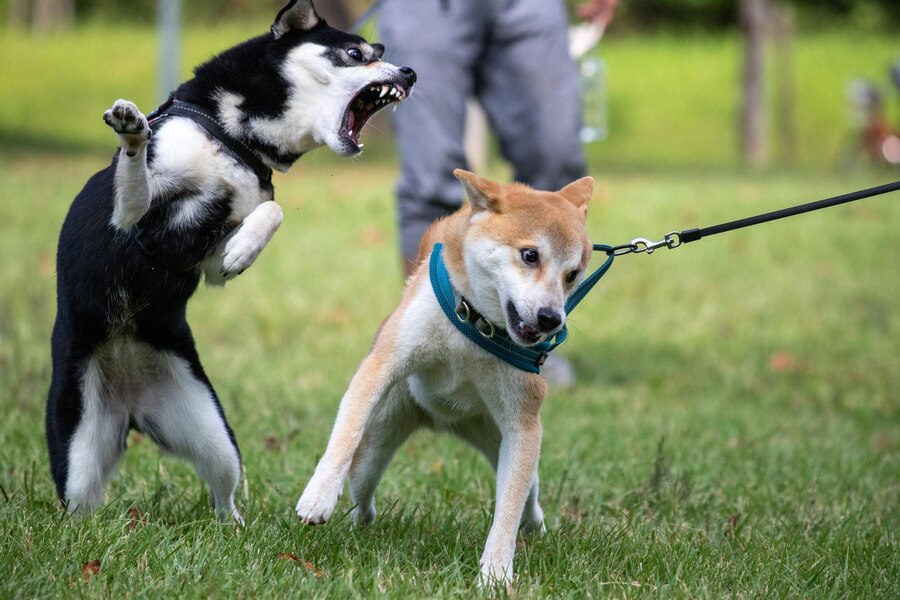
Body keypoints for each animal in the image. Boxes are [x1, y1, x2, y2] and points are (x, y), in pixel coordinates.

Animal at [45, 0, 414, 524]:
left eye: (377, 53)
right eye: (354, 54)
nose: (409, 72)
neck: (233, 137)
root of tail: (130, 407)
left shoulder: (211, 254)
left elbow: (270, 213)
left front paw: (244, 250)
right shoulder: (132, 218)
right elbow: (135, 175)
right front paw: (133, 133)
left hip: (212, 431)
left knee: (224, 490)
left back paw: (236, 525)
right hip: (76, 447)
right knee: (80, 504)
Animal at [294, 170, 592, 584]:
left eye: (572, 274)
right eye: (530, 255)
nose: (552, 319)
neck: (476, 324)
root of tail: (441, 421)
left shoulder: (523, 422)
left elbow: (508, 507)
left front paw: (496, 572)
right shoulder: (383, 363)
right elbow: (347, 432)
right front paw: (318, 495)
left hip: (498, 439)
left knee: (527, 493)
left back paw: (535, 525)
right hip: (381, 440)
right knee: (363, 486)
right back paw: (359, 523)